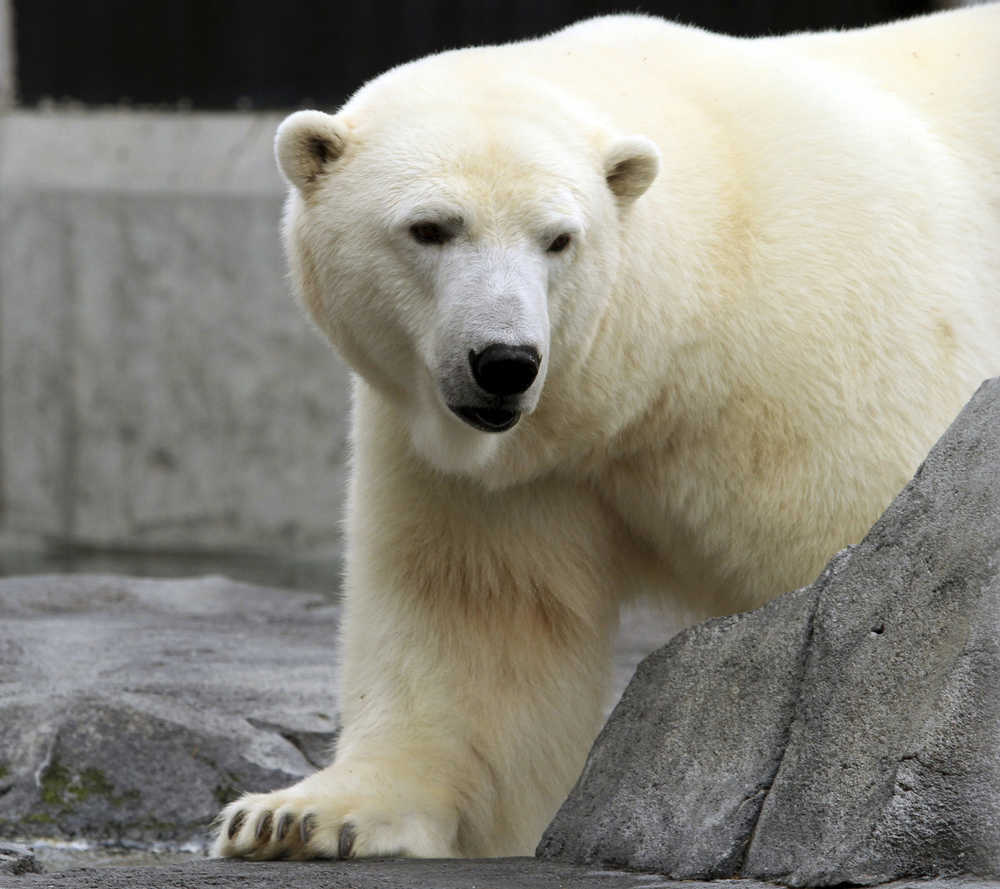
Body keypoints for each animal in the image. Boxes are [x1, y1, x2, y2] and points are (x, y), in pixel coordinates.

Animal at [213, 4, 1000, 860]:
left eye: (558, 238)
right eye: (430, 228)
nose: (504, 362)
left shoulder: (833, 375)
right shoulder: (511, 467)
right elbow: (475, 623)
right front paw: (295, 815)